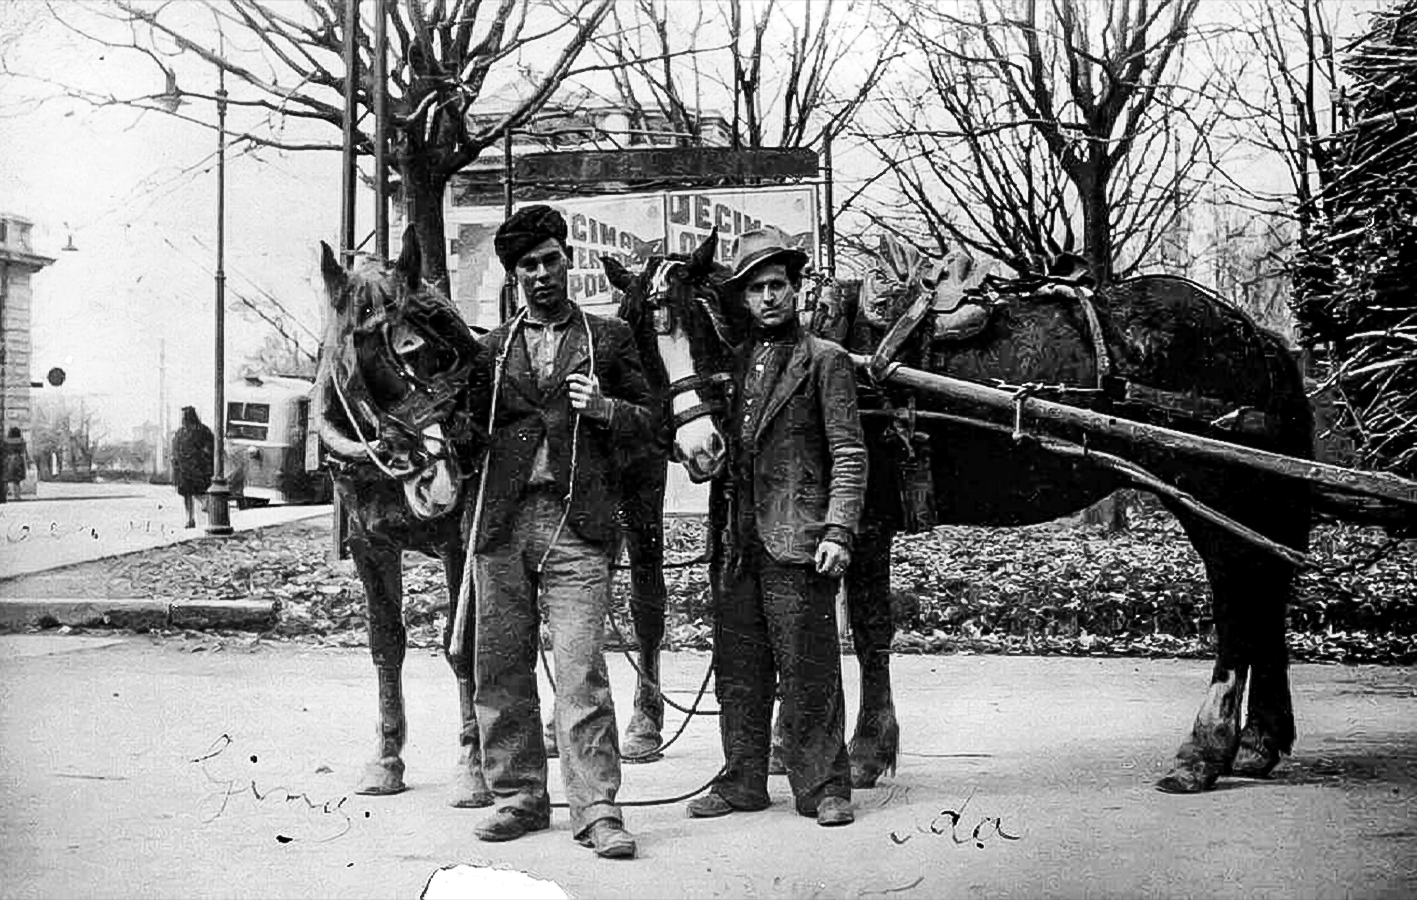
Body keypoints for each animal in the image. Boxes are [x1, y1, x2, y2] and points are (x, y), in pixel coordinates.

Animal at [313, 228, 495, 805]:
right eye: (372, 347)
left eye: (442, 346)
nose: (439, 479)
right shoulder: (370, 547)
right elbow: (386, 644)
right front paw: (387, 758)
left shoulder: (461, 546)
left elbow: (464, 649)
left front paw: (474, 766)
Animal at [614, 231, 1309, 793]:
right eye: (643, 338)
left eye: (702, 322)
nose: (702, 446)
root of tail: (1252, 334)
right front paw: (798, 747)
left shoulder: (863, 521)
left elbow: (867, 629)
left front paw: (866, 751)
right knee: (1266, 591)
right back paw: (1258, 741)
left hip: (1208, 490)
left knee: (1240, 601)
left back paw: (1205, 749)